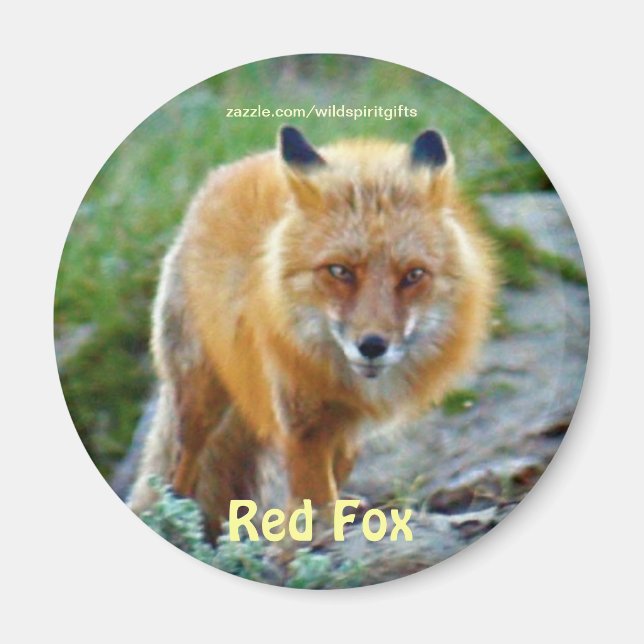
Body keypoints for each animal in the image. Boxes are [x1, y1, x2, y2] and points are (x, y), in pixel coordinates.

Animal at [128, 125, 497, 538]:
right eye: (339, 271)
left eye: (414, 275)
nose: (372, 346)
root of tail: (227, 172)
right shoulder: (300, 414)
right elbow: (312, 490)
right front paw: (312, 530)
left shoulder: (340, 420)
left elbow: (329, 478)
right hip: (201, 396)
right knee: (183, 464)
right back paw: (178, 518)